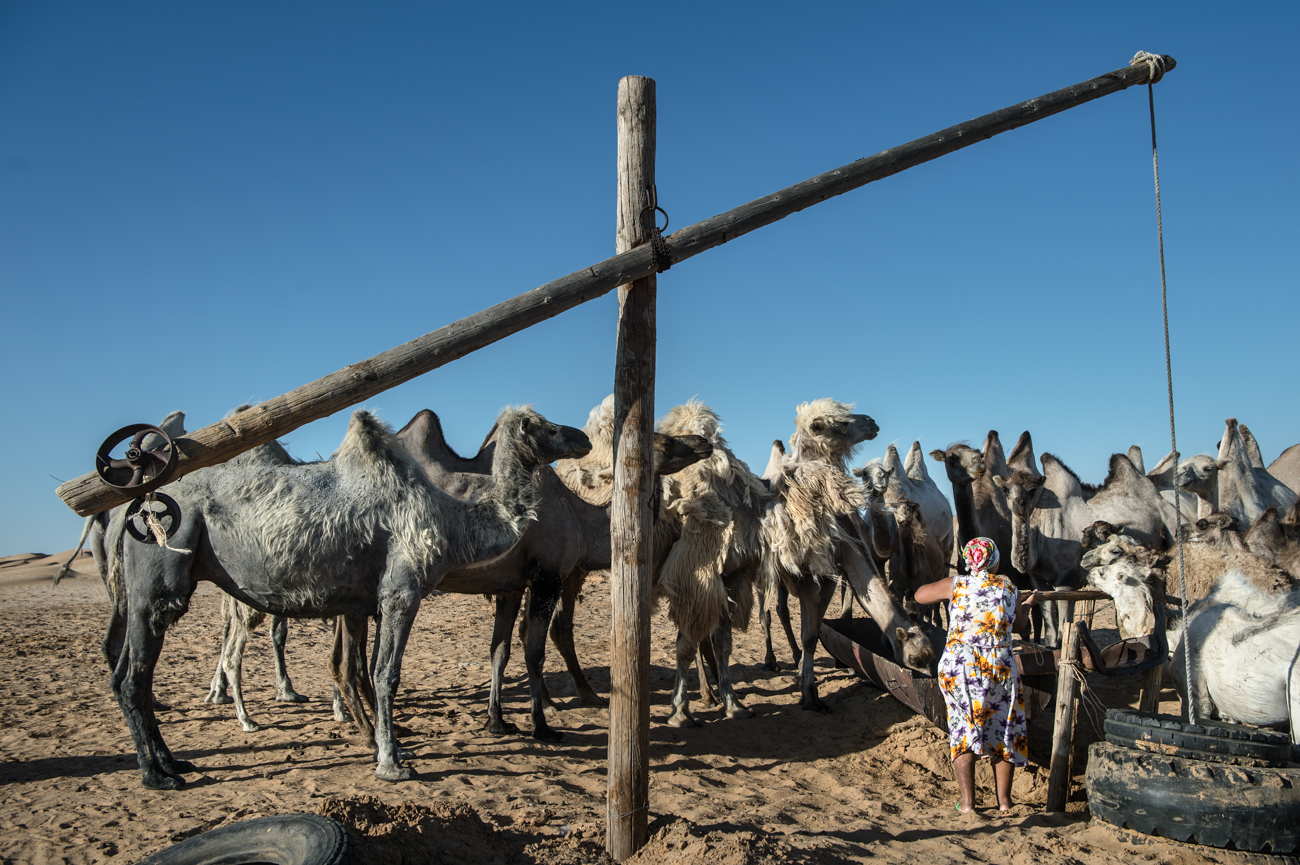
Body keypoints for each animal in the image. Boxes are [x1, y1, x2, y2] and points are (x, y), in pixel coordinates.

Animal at [759, 398, 935, 707]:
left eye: (931, 655)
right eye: (915, 658)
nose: (872, 422)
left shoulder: (832, 573)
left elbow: (814, 632)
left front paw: (808, 681)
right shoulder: (811, 577)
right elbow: (810, 635)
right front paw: (810, 696)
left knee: (780, 610)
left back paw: (792, 658)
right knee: (762, 614)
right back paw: (767, 662)